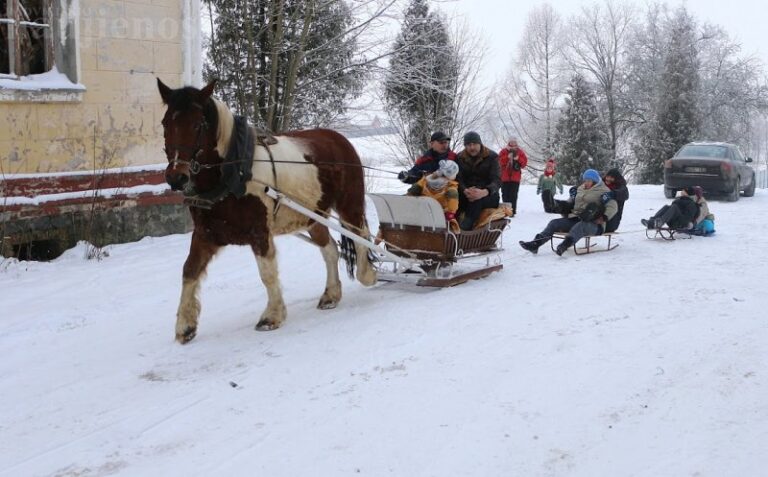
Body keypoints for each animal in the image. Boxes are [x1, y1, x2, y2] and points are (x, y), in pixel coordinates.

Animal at [155, 80, 376, 344]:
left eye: (198, 124)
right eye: (165, 123)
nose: (176, 177)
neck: (234, 172)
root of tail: (339, 137)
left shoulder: (259, 232)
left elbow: (267, 273)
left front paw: (272, 316)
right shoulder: (205, 234)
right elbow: (189, 271)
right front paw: (185, 325)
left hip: (349, 205)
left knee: (361, 236)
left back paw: (367, 274)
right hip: (312, 216)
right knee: (330, 250)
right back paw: (331, 294)